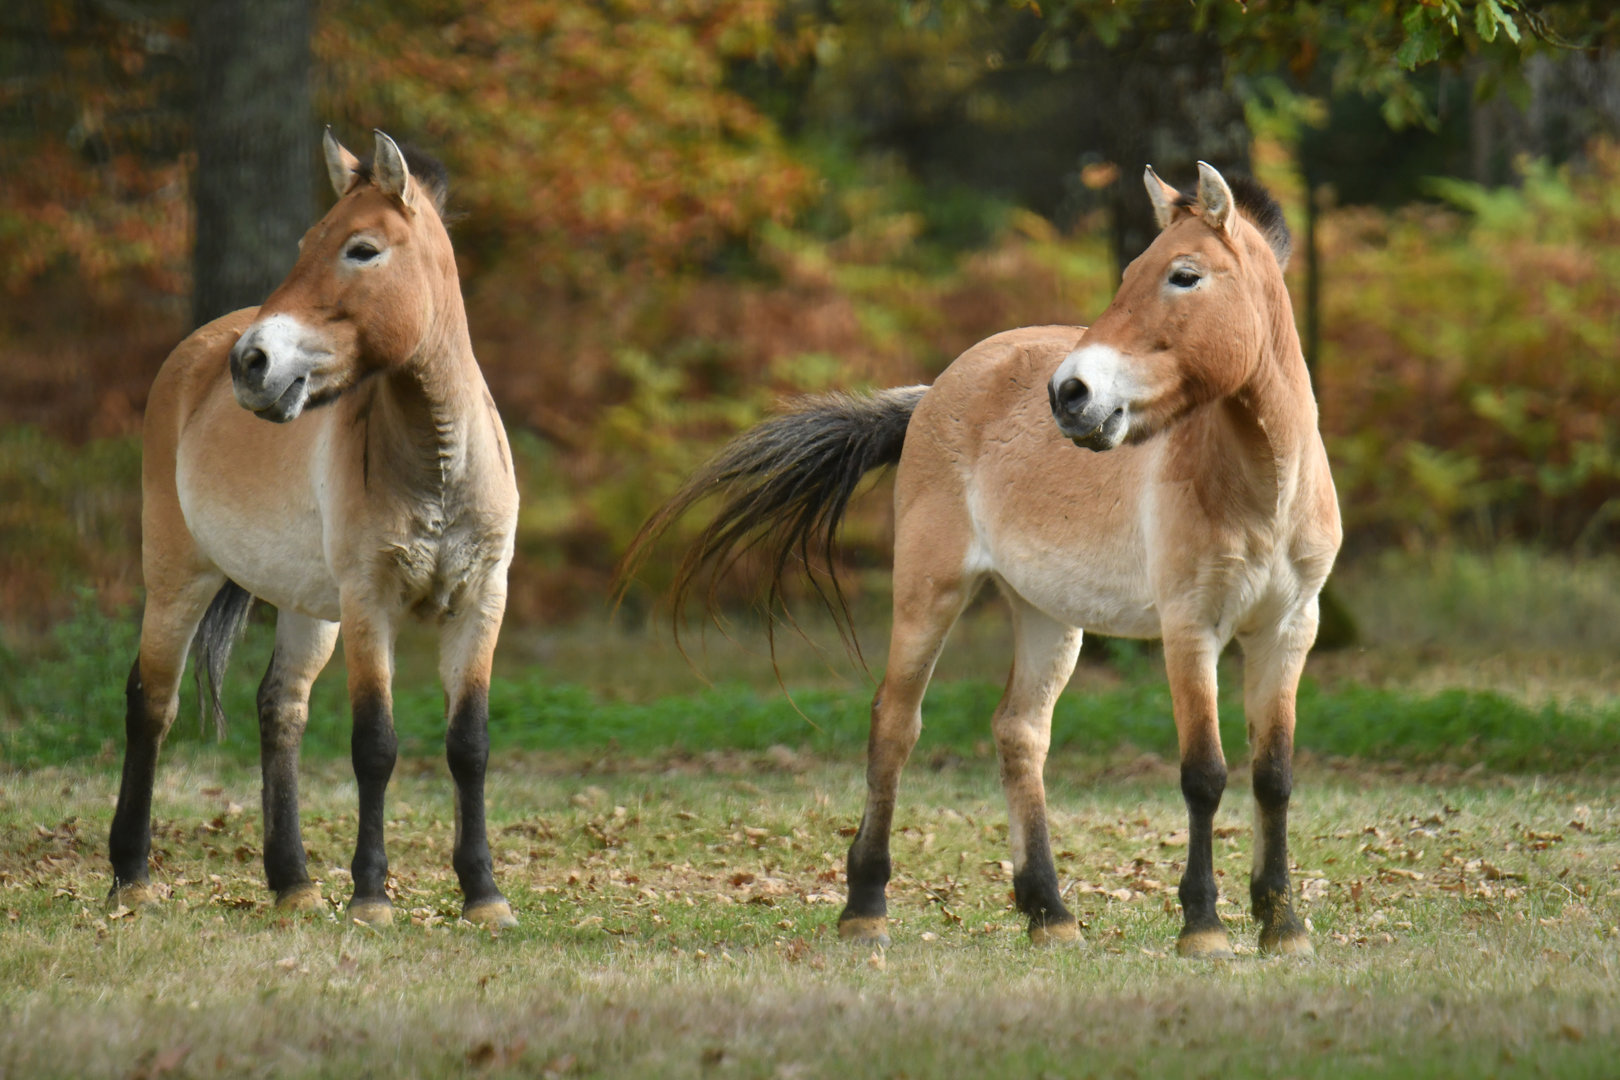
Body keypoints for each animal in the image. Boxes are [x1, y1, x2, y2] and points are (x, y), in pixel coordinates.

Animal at [107, 129, 521, 929]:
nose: (252, 363)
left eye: (362, 249)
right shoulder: (370, 604)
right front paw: (371, 897)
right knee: (153, 702)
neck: (438, 463)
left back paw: (292, 883)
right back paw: (131, 878)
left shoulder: (481, 601)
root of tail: (197, 350)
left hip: (307, 609)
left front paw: (483, 895)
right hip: (179, 575)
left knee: (281, 710)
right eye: (306, 242)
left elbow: (470, 744)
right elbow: (376, 745)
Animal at [619, 162, 1341, 957]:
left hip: (1047, 616)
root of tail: (938, 387)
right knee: (895, 724)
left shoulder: (1288, 630)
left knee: (1020, 732)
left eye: (1185, 275)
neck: (1260, 483)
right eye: (1129, 273)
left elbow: (1273, 775)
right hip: (930, 591)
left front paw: (1283, 924)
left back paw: (1049, 912)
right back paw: (865, 908)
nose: (1070, 393)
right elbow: (1204, 775)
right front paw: (1204, 927)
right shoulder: (1191, 629)